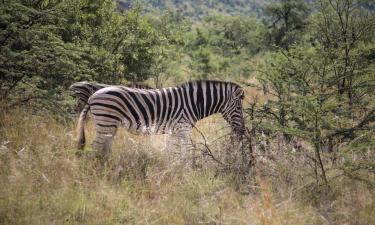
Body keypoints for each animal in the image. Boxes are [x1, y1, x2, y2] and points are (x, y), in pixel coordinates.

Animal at [76, 80, 247, 163]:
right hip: (106, 121)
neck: (194, 102)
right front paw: (187, 170)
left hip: (110, 124)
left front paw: (172, 167)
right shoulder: (183, 129)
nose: (242, 131)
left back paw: (107, 165)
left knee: (105, 146)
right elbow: (186, 152)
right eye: (239, 107)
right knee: (96, 146)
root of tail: (92, 96)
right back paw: (97, 168)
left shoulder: (175, 131)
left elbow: (173, 151)